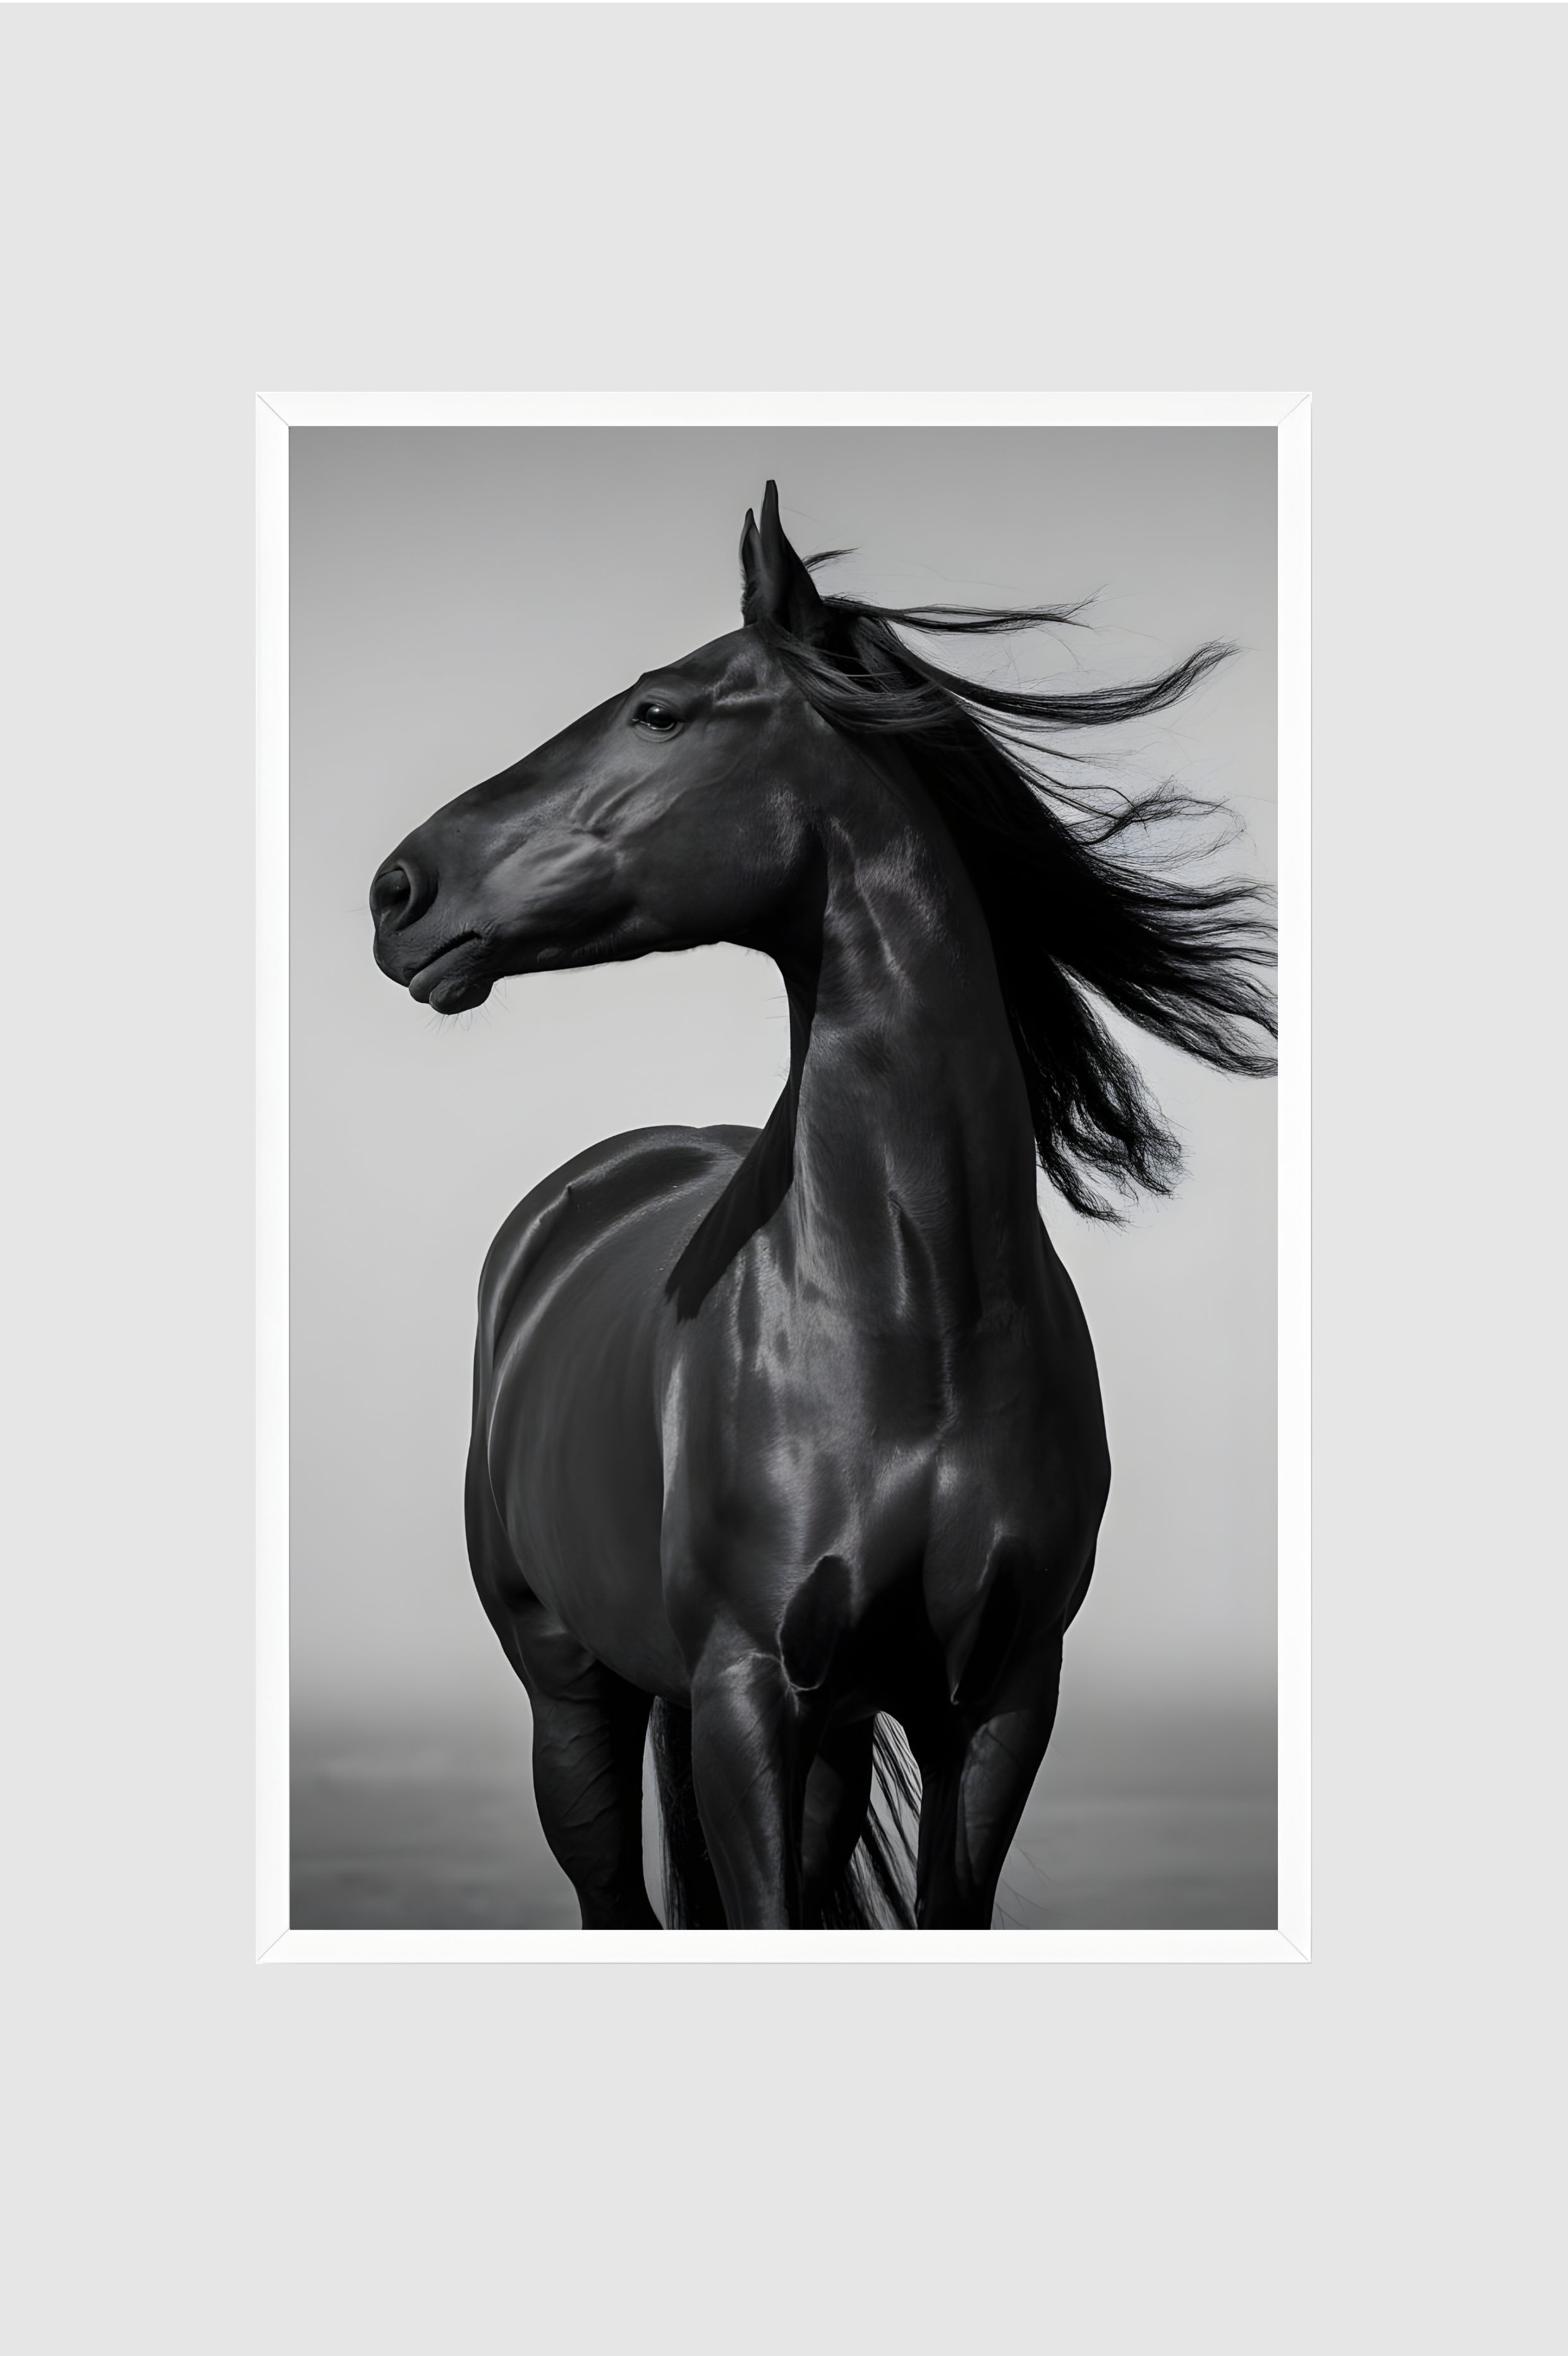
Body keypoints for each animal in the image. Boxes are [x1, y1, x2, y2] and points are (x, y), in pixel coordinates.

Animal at [369, 483, 1275, 1930]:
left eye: (662, 710)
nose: (398, 890)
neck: (912, 1312)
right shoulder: (750, 1691)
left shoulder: (997, 1703)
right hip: (571, 1690)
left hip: (829, 1732)